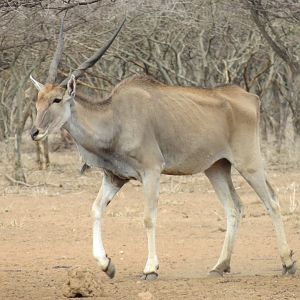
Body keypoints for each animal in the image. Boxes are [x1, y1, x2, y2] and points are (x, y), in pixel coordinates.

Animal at [29, 18, 296, 280]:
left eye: (57, 99)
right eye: (37, 100)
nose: (35, 132)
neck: (114, 117)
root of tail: (250, 97)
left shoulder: (151, 171)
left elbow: (149, 218)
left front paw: (150, 268)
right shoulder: (115, 177)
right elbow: (96, 209)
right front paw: (106, 265)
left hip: (248, 164)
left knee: (272, 201)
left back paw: (287, 263)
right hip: (216, 167)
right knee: (234, 207)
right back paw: (220, 266)